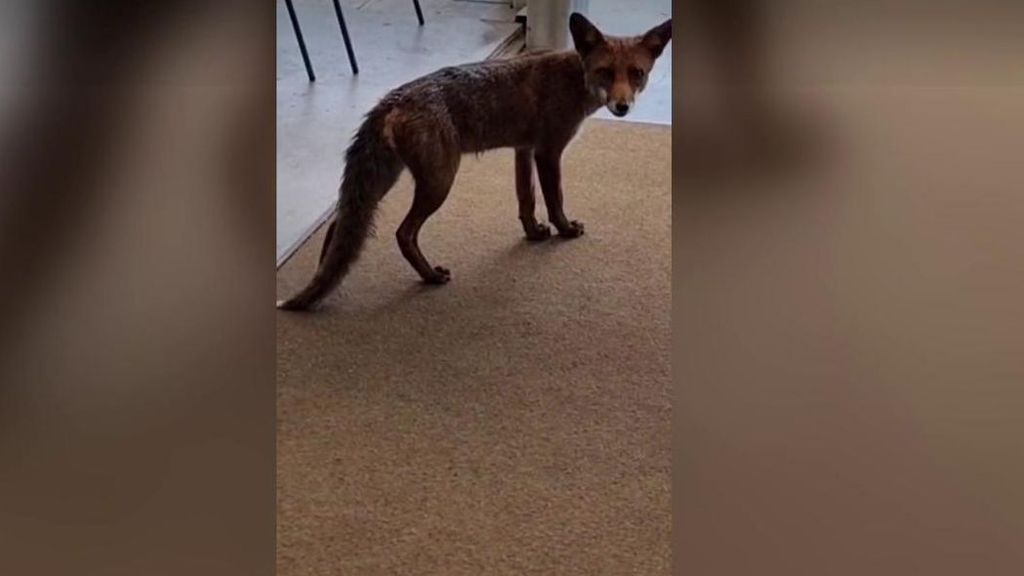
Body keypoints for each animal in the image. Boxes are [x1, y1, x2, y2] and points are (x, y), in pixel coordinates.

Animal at [277, 12, 671, 311]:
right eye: (605, 72)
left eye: (636, 74)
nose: (622, 107)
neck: (574, 80)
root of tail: (391, 99)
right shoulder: (548, 151)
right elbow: (555, 198)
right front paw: (564, 230)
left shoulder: (523, 150)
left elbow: (526, 200)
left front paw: (533, 233)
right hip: (439, 181)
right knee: (403, 233)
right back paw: (430, 277)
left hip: (383, 181)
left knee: (338, 227)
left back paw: (324, 285)